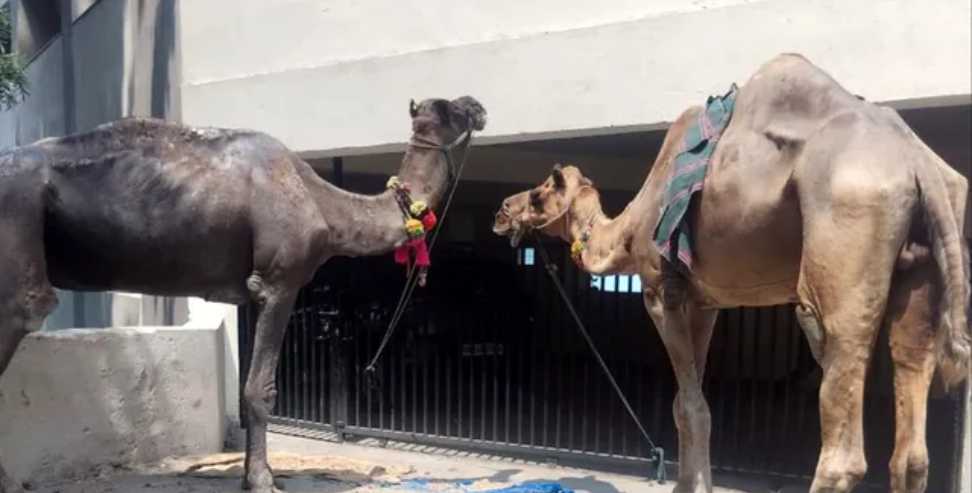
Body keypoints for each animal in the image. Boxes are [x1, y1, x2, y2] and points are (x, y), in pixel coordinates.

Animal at [0, 95, 486, 493]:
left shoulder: (254, 291)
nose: (478, 105)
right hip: (18, 221)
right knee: (27, 308)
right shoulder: (278, 281)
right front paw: (262, 481)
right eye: (452, 110)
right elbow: (259, 389)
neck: (323, 205)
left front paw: (253, 475)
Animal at [492, 53, 969, 493]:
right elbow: (689, 404)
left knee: (840, 420)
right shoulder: (704, 303)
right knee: (912, 430)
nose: (501, 211)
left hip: (849, 224)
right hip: (924, 262)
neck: (627, 230)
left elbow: (690, 407)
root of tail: (916, 161)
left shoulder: (660, 291)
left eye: (538, 195)